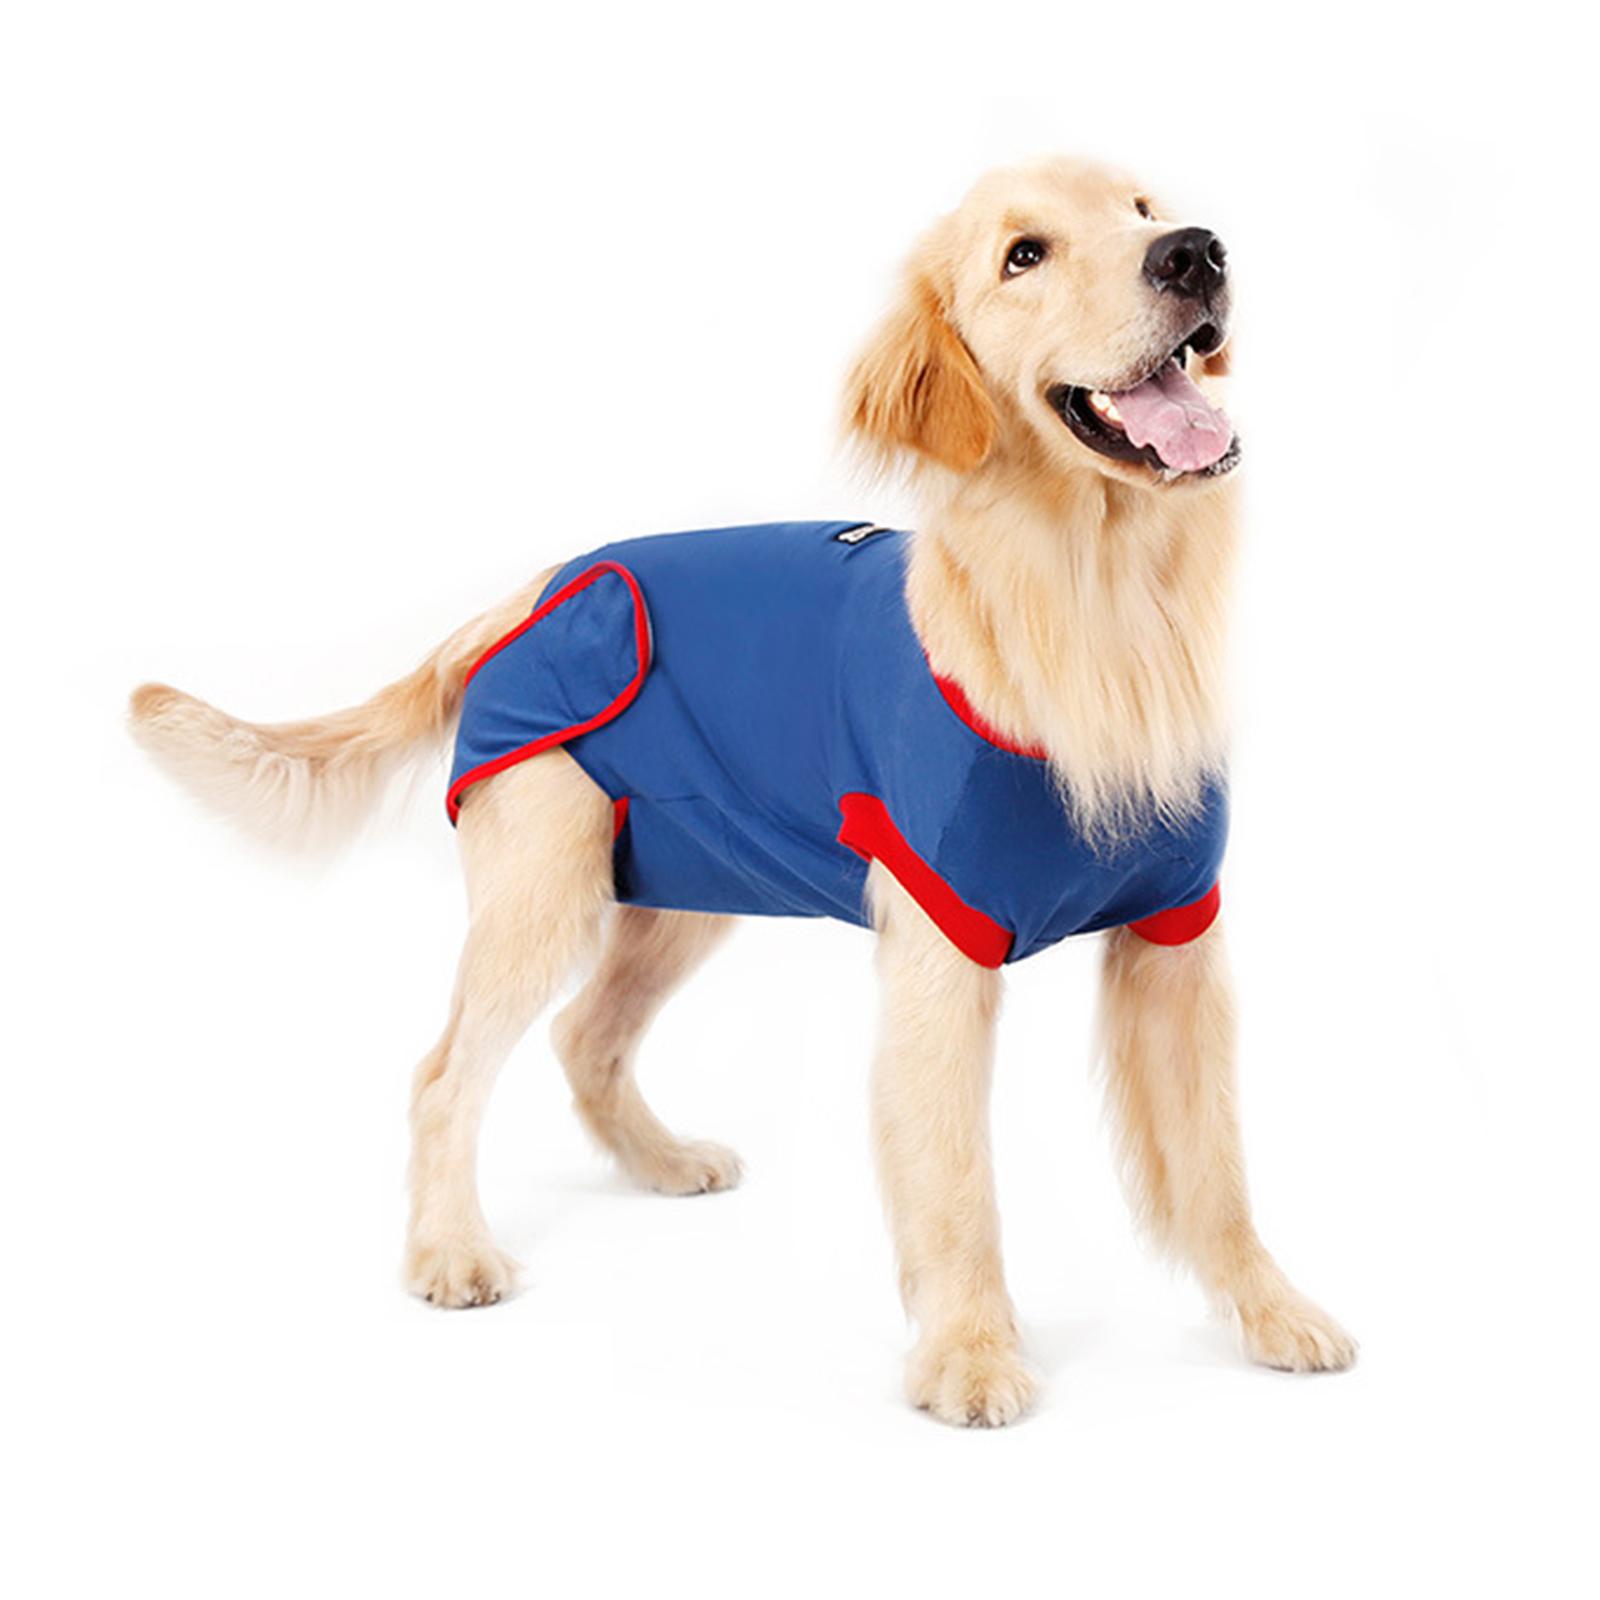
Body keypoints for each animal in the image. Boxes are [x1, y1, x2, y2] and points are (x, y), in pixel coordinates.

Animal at [130, 156, 1355, 1426]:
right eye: (1023, 255)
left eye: (1143, 211)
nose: (1195, 254)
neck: (1099, 598)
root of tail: (536, 586)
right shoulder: (940, 952)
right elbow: (957, 1180)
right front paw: (969, 1352)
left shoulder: (1177, 936)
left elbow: (1216, 1166)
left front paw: (1269, 1309)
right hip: (546, 889)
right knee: (444, 1072)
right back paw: (450, 1250)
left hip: (688, 883)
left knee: (585, 1035)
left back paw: (661, 1162)